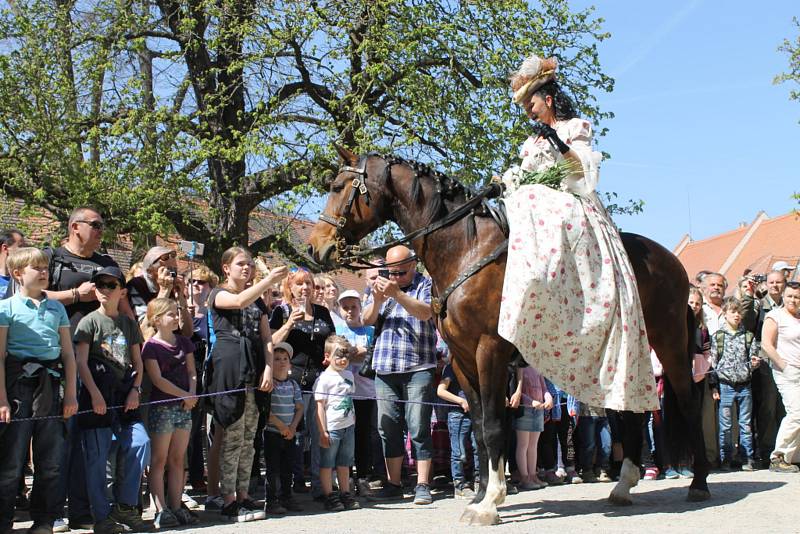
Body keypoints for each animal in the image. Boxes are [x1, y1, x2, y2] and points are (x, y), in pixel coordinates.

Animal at [310, 149, 708, 524]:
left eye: (337, 186)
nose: (316, 247)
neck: (466, 250)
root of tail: (671, 262)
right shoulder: (462, 359)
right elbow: (480, 428)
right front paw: (482, 495)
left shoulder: (490, 352)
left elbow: (494, 426)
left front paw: (489, 503)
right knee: (630, 414)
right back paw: (624, 485)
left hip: (669, 343)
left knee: (687, 404)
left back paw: (699, 483)